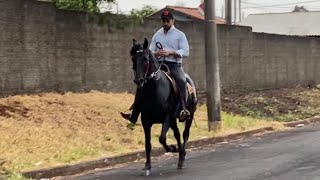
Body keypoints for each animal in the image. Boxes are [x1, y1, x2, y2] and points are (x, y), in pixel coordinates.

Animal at [130, 38, 198, 176]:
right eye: (133, 59)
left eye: (145, 59)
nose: (139, 81)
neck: (155, 90)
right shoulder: (146, 121)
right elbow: (148, 144)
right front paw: (147, 166)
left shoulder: (167, 117)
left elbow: (162, 138)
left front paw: (173, 148)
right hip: (173, 121)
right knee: (177, 134)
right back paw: (180, 154)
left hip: (188, 115)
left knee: (185, 134)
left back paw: (181, 156)